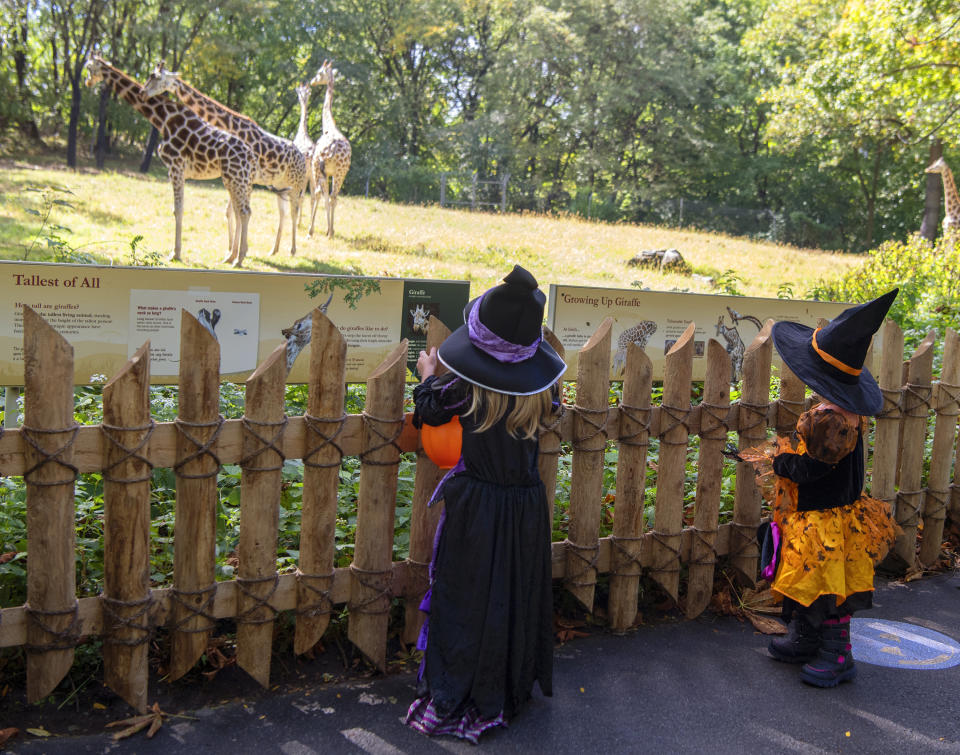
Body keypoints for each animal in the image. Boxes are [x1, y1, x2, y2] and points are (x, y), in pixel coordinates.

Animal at [83, 54, 255, 266]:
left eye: (90, 67)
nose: (87, 81)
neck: (163, 119)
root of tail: (250, 156)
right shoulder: (176, 169)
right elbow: (178, 209)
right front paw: (176, 251)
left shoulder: (176, 167)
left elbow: (178, 210)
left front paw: (175, 253)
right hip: (233, 179)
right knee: (240, 212)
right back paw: (232, 256)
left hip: (237, 178)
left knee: (245, 212)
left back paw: (238, 259)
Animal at [142, 63, 308, 268]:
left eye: (155, 77)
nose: (143, 92)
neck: (228, 126)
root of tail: (302, 156)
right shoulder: (238, 178)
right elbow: (231, 212)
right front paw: (232, 252)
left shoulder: (244, 178)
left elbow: (236, 212)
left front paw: (236, 253)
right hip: (280, 186)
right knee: (283, 213)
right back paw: (273, 250)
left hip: (296, 185)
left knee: (294, 212)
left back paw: (292, 250)